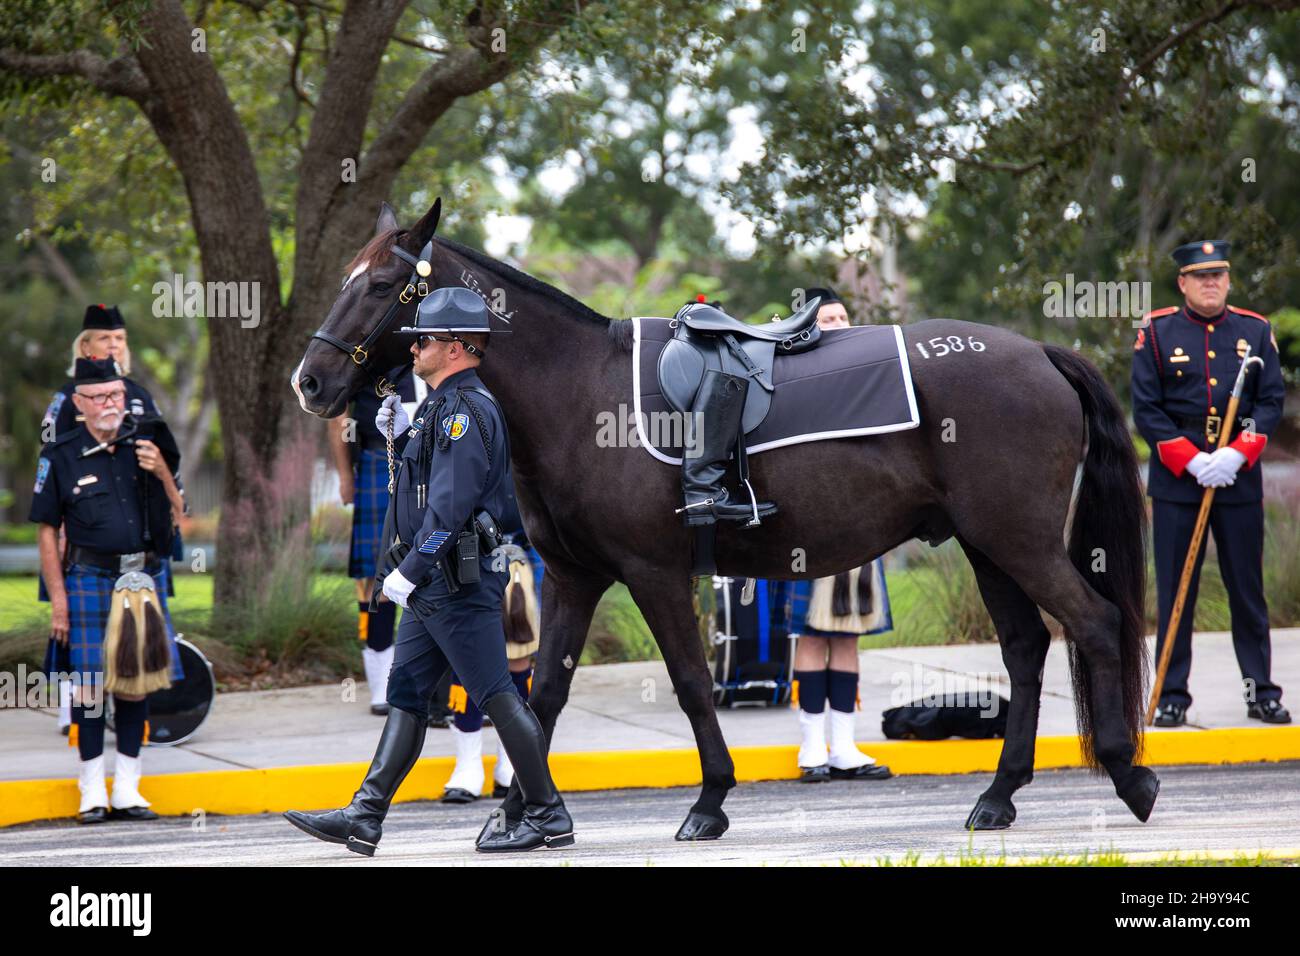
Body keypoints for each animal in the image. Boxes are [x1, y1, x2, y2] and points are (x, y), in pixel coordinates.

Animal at [295, 200, 1159, 837]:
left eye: (382, 284)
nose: (310, 380)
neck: (577, 393)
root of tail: (1040, 352)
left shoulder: (653, 573)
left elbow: (688, 683)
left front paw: (709, 800)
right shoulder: (574, 577)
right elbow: (541, 697)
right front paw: (520, 815)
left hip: (1019, 542)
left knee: (1093, 623)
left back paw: (1128, 773)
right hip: (989, 545)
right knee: (1025, 649)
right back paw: (1000, 794)